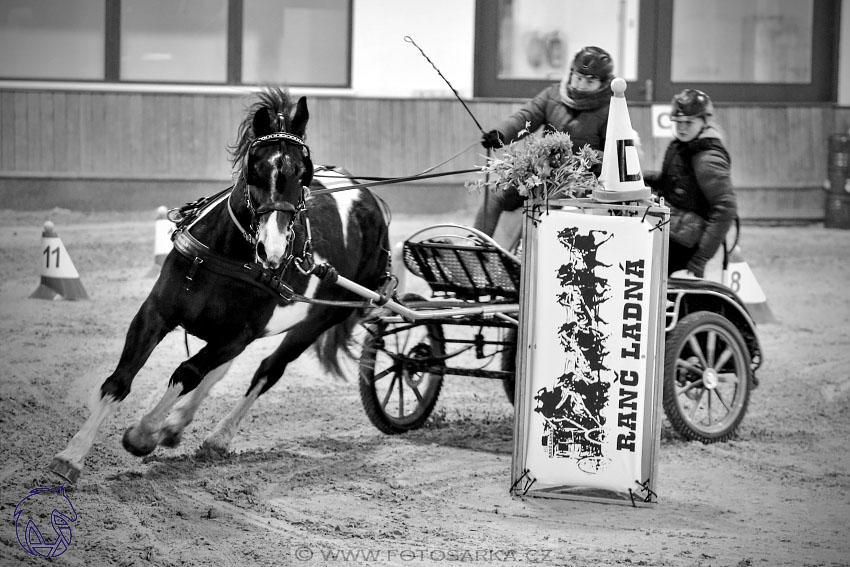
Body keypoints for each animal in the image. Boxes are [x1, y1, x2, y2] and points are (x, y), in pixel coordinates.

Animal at [49, 86, 388, 482]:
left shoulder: (238, 334)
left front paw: (143, 433)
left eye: (303, 175)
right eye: (256, 168)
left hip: (317, 321)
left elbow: (188, 372)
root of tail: (372, 202)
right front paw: (73, 455)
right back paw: (176, 426)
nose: (272, 251)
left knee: (267, 370)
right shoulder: (156, 313)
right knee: (223, 370)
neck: (228, 256)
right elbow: (121, 379)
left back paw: (218, 437)